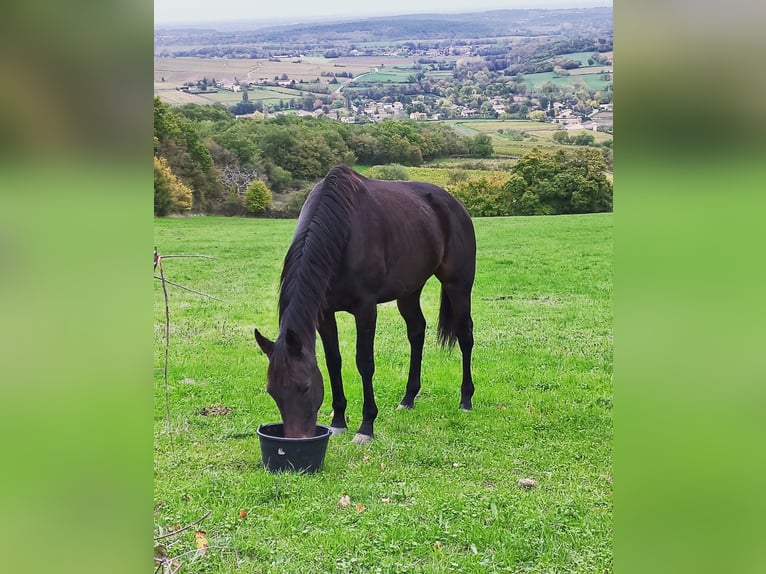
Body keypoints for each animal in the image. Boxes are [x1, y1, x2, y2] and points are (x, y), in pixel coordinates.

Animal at [255, 165, 476, 446]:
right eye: (272, 391)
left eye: (304, 386)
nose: (298, 438)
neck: (342, 231)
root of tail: (455, 204)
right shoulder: (324, 313)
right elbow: (333, 361)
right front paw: (338, 421)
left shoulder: (366, 309)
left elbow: (365, 362)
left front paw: (366, 426)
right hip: (409, 291)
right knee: (417, 332)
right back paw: (408, 398)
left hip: (458, 286)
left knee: (465, 336)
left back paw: (466, 399)